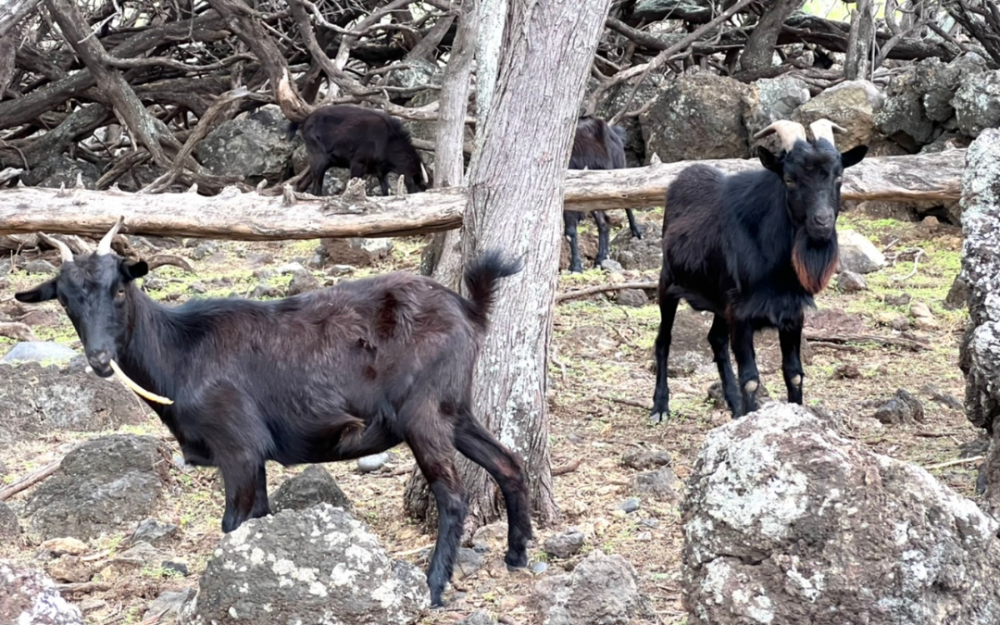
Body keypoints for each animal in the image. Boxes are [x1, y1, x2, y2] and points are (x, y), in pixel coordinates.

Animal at [13, 219, 532, 604]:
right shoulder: (252, 455)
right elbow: (257, 520)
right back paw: (517, 554)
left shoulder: (238, 445)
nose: (100, 359)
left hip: (422, 412)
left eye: (119, 289)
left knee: (454, 493)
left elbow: (233, 526)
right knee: (509, 462)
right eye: (65, 299)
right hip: (454, 408)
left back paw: (435, 586)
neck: (180, 352)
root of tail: (470, 309)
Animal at [568, 116, 644, 272]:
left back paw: (636, 231)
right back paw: (601, 259)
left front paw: (576, 267)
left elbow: (570, 231)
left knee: (627, 202)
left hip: (619, 168)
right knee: (603, 223)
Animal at [648, 119, 868, 422]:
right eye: (789, 179)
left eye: (838, 177)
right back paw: (660, 407)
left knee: (716, 339)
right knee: (663, 341)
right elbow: (751, 378)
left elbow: (794, 374)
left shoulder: (791, 314)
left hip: (720, 302)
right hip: (668, 283)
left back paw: (733, 405)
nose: (821, 222)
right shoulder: (742, 315)